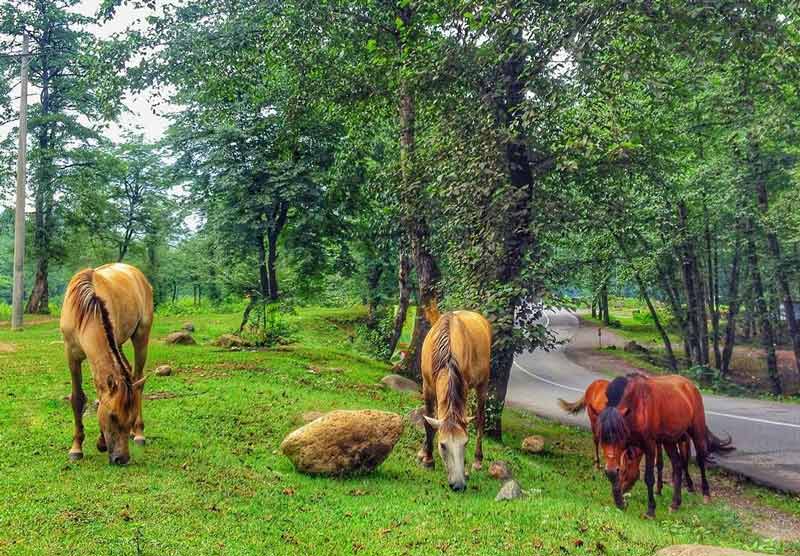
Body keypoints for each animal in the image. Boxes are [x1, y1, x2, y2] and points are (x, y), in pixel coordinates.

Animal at [60, 263, 154, 465]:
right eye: (112, 416)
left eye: (130, 417)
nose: (122, 459)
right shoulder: (71, 356)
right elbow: (77, 398)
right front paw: (76, 448)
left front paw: (101, 442)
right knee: (131, 376)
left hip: (141, 336)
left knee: (138, 380)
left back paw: (138, 433)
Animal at [418, 310, 491, 492]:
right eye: (443, 445)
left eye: (465, 443)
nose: (459, 484)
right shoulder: (427, 386)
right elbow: (429, 422)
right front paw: (427, 458)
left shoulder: (462, 388)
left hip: (482, 384)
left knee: (480, 418)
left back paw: (478, 461)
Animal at [559, 378, 695, 494]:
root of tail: (593, 384)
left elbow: (659, 462)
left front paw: (659, 488)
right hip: (594, 422)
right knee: (596, 441)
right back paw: (597, 465)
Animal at [597, 374, 733, 517]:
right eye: (602, 439)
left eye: (619, 436)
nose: (623, 492)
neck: (636, 406)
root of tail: (690, 385)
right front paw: (620, 503)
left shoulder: (649, 445)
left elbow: (649, 477)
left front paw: (651, 510)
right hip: (669, 441)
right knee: (678, 465)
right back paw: (675, 504)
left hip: (696, 430)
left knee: (701, 459)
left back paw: (706, 494)